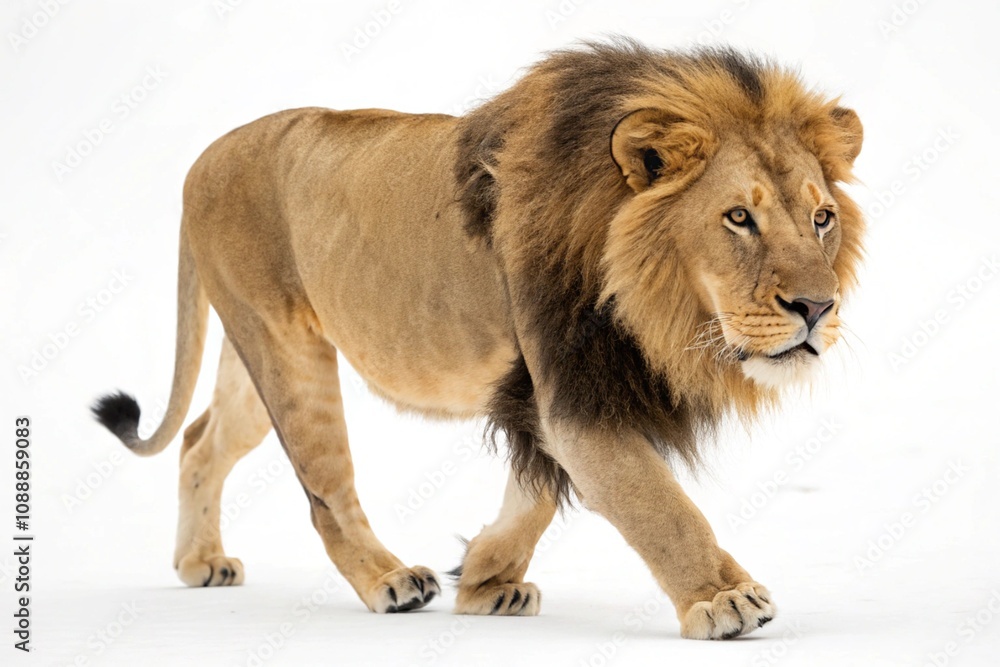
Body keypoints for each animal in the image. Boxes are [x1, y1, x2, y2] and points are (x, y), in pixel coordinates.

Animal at [92, 40, 864, 640]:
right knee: (326, 491)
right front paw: (722, 597)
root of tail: (204, 158)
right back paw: (390, 580)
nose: (816, 307)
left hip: (255, 350)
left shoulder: (545, 391)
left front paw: (488, 576)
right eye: (738, 217)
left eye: (822, 218)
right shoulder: (571, 386)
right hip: (286, 354)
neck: (659, 311)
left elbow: (539, 491)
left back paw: (200, 562)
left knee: (201, 440)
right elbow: (657, 502)